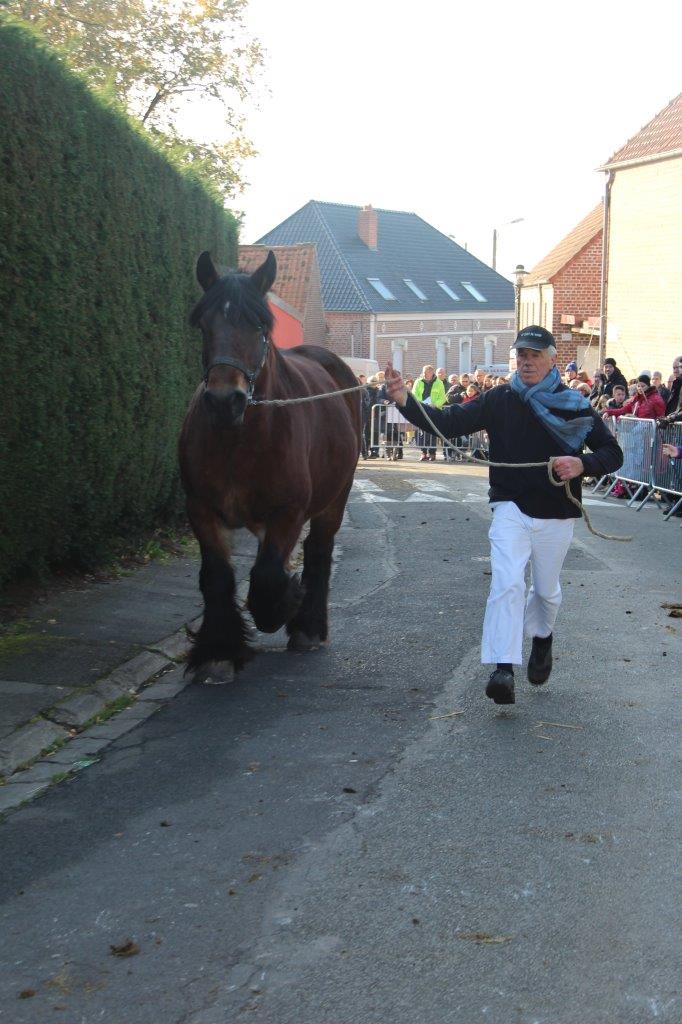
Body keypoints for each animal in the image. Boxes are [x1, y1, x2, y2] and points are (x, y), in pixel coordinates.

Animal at [180, 250, 360, 675]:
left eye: (260, 325)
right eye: (203, 324)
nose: (224, 400)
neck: (239, 439)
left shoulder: (288, 511)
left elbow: (267, 575)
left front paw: (279, 608)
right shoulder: (201, 509)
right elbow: (217, 576)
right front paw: (218, 650)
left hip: (335, 498)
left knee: (319, 549)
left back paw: (308, 626)